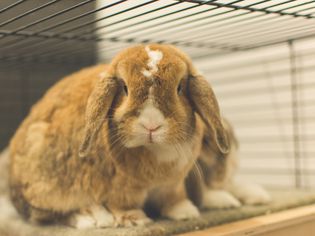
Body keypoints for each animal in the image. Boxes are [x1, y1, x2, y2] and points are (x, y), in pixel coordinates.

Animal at [8, 44, 230, 229]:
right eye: (124, 88)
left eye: (179, 88)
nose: (151, 125)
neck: (157, 151)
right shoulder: (120, 189)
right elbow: (121, 204)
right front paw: (134, 219)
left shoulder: (172, 184)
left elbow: (174, 198)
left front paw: (185, 212)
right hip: (47, 188)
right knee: (51, 215)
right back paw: (92, 220)